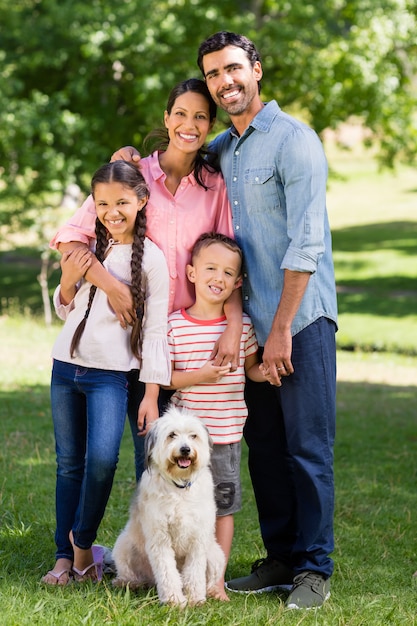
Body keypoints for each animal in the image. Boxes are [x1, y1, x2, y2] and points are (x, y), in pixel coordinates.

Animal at [111, 404, 224, 604]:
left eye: (193, 436)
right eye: (172, 435)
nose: (185, 449)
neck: (179, 487)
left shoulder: (198, 539)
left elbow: (194, 572)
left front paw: (195, 599)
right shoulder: (160, 538)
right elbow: (167, 573)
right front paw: (174, 600)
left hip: (216, 556)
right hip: (123, 546)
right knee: (130, 573)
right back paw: (128, 583)